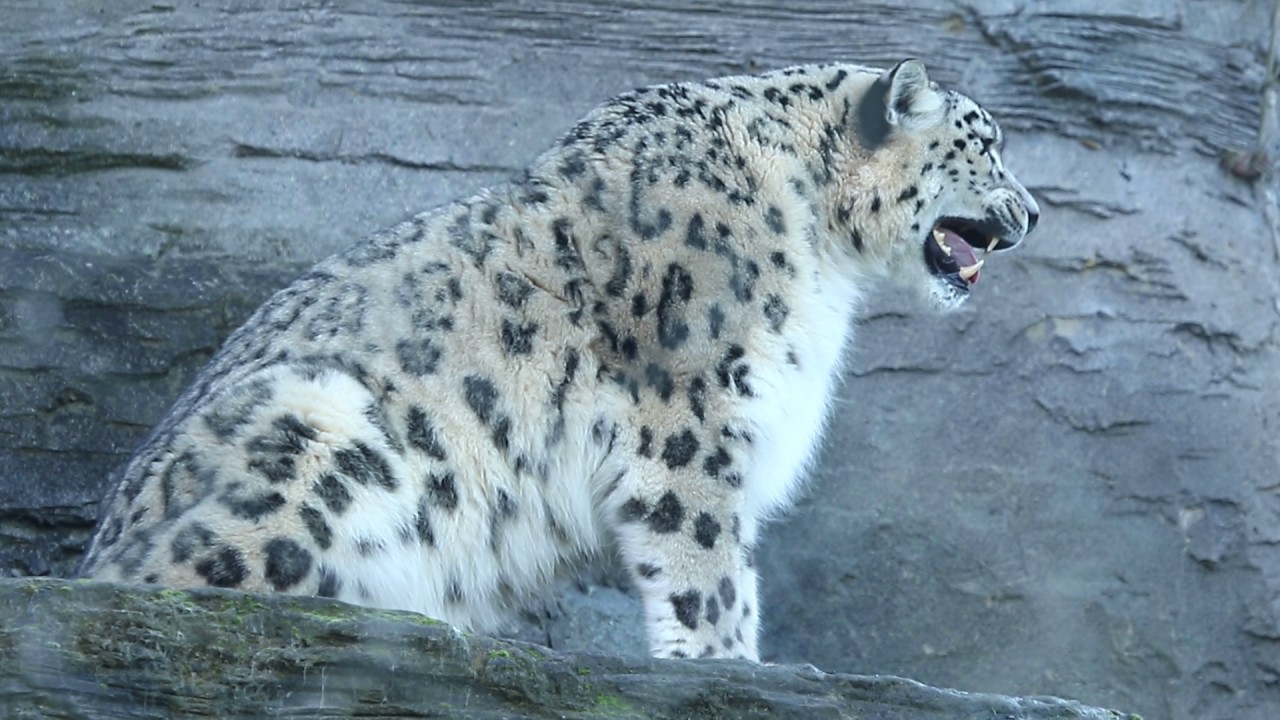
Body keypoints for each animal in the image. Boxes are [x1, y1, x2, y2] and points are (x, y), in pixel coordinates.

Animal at [77, 59, 1039, 661]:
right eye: (986, 144)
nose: (1033, 213)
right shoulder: (693, 411)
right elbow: (706, 561)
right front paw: (727, 662)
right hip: (320, 425)